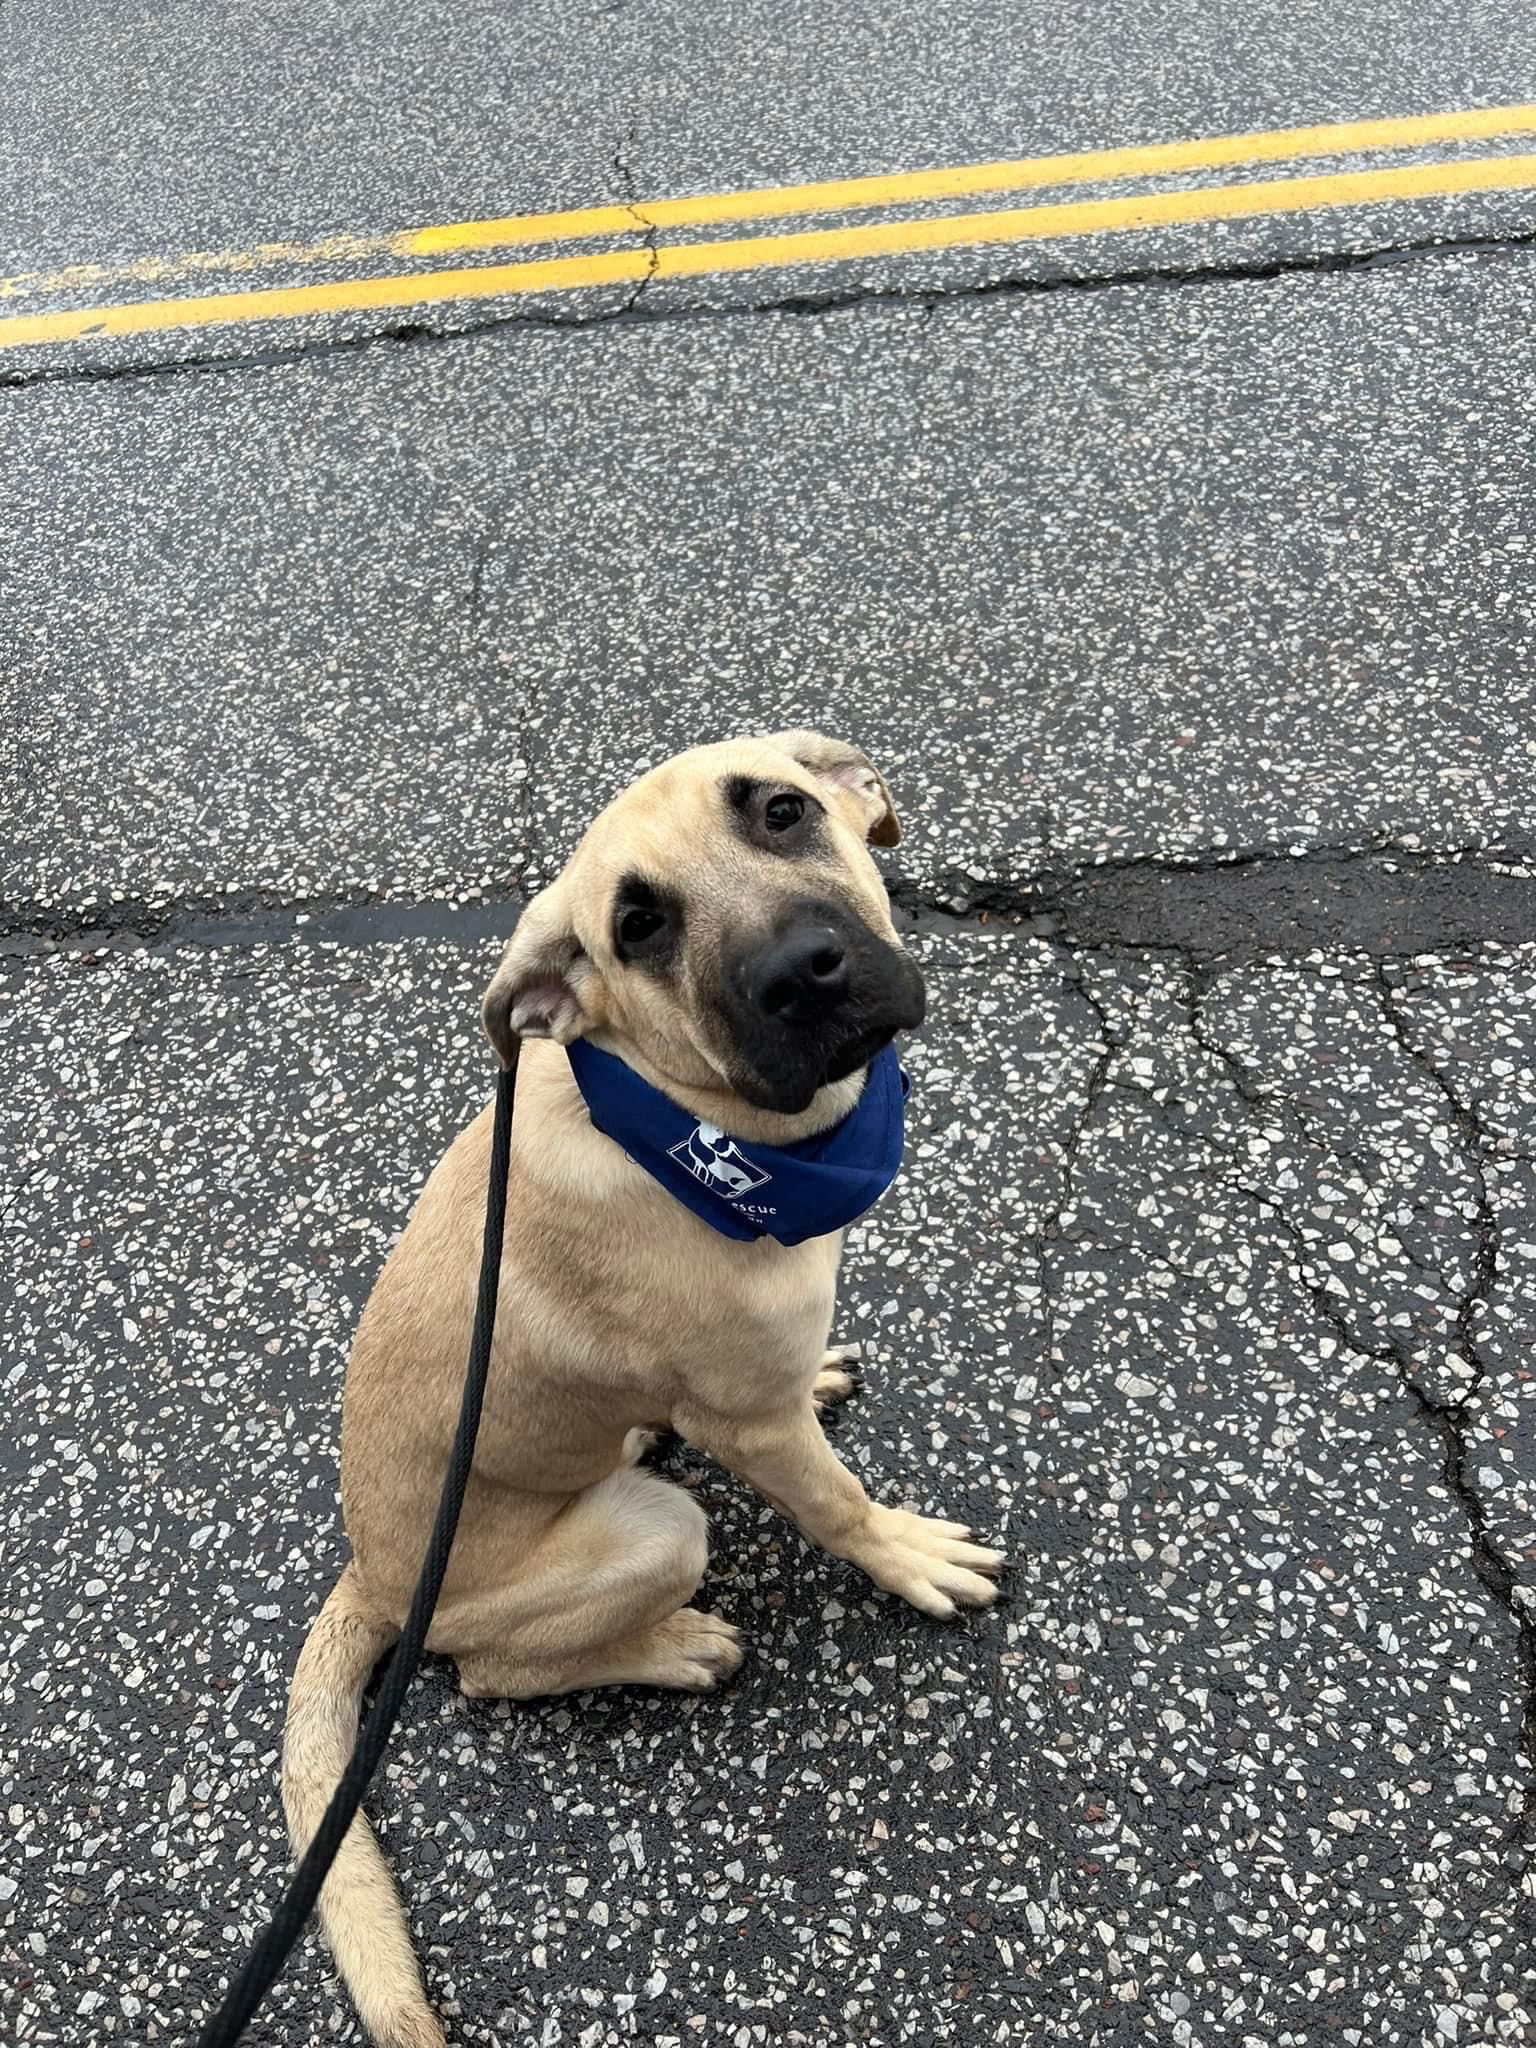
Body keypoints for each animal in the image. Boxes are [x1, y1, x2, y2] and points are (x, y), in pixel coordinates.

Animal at [286, 737, 1011, 2048]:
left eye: (782, 811)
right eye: (638, 927)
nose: (803, 975)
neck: (692, 1123)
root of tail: (375, 1573)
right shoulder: (751, 1422)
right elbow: (840, 1503)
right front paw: (905, 1554)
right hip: (652, 1536)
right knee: (495, 1672)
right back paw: (672, 1645)